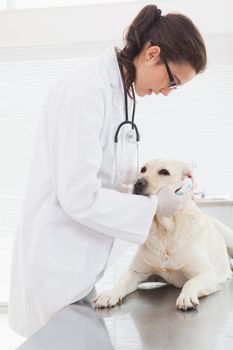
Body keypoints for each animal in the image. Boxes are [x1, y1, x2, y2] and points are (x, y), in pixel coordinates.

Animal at [93, 159, 233, 308]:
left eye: (164, 172)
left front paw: (186, 296)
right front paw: (109, 294)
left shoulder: (206, 273)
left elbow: (190, 282)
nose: (137, 182)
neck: (165, 231)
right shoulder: (136, 272)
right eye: (143, 169)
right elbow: (121, 282)